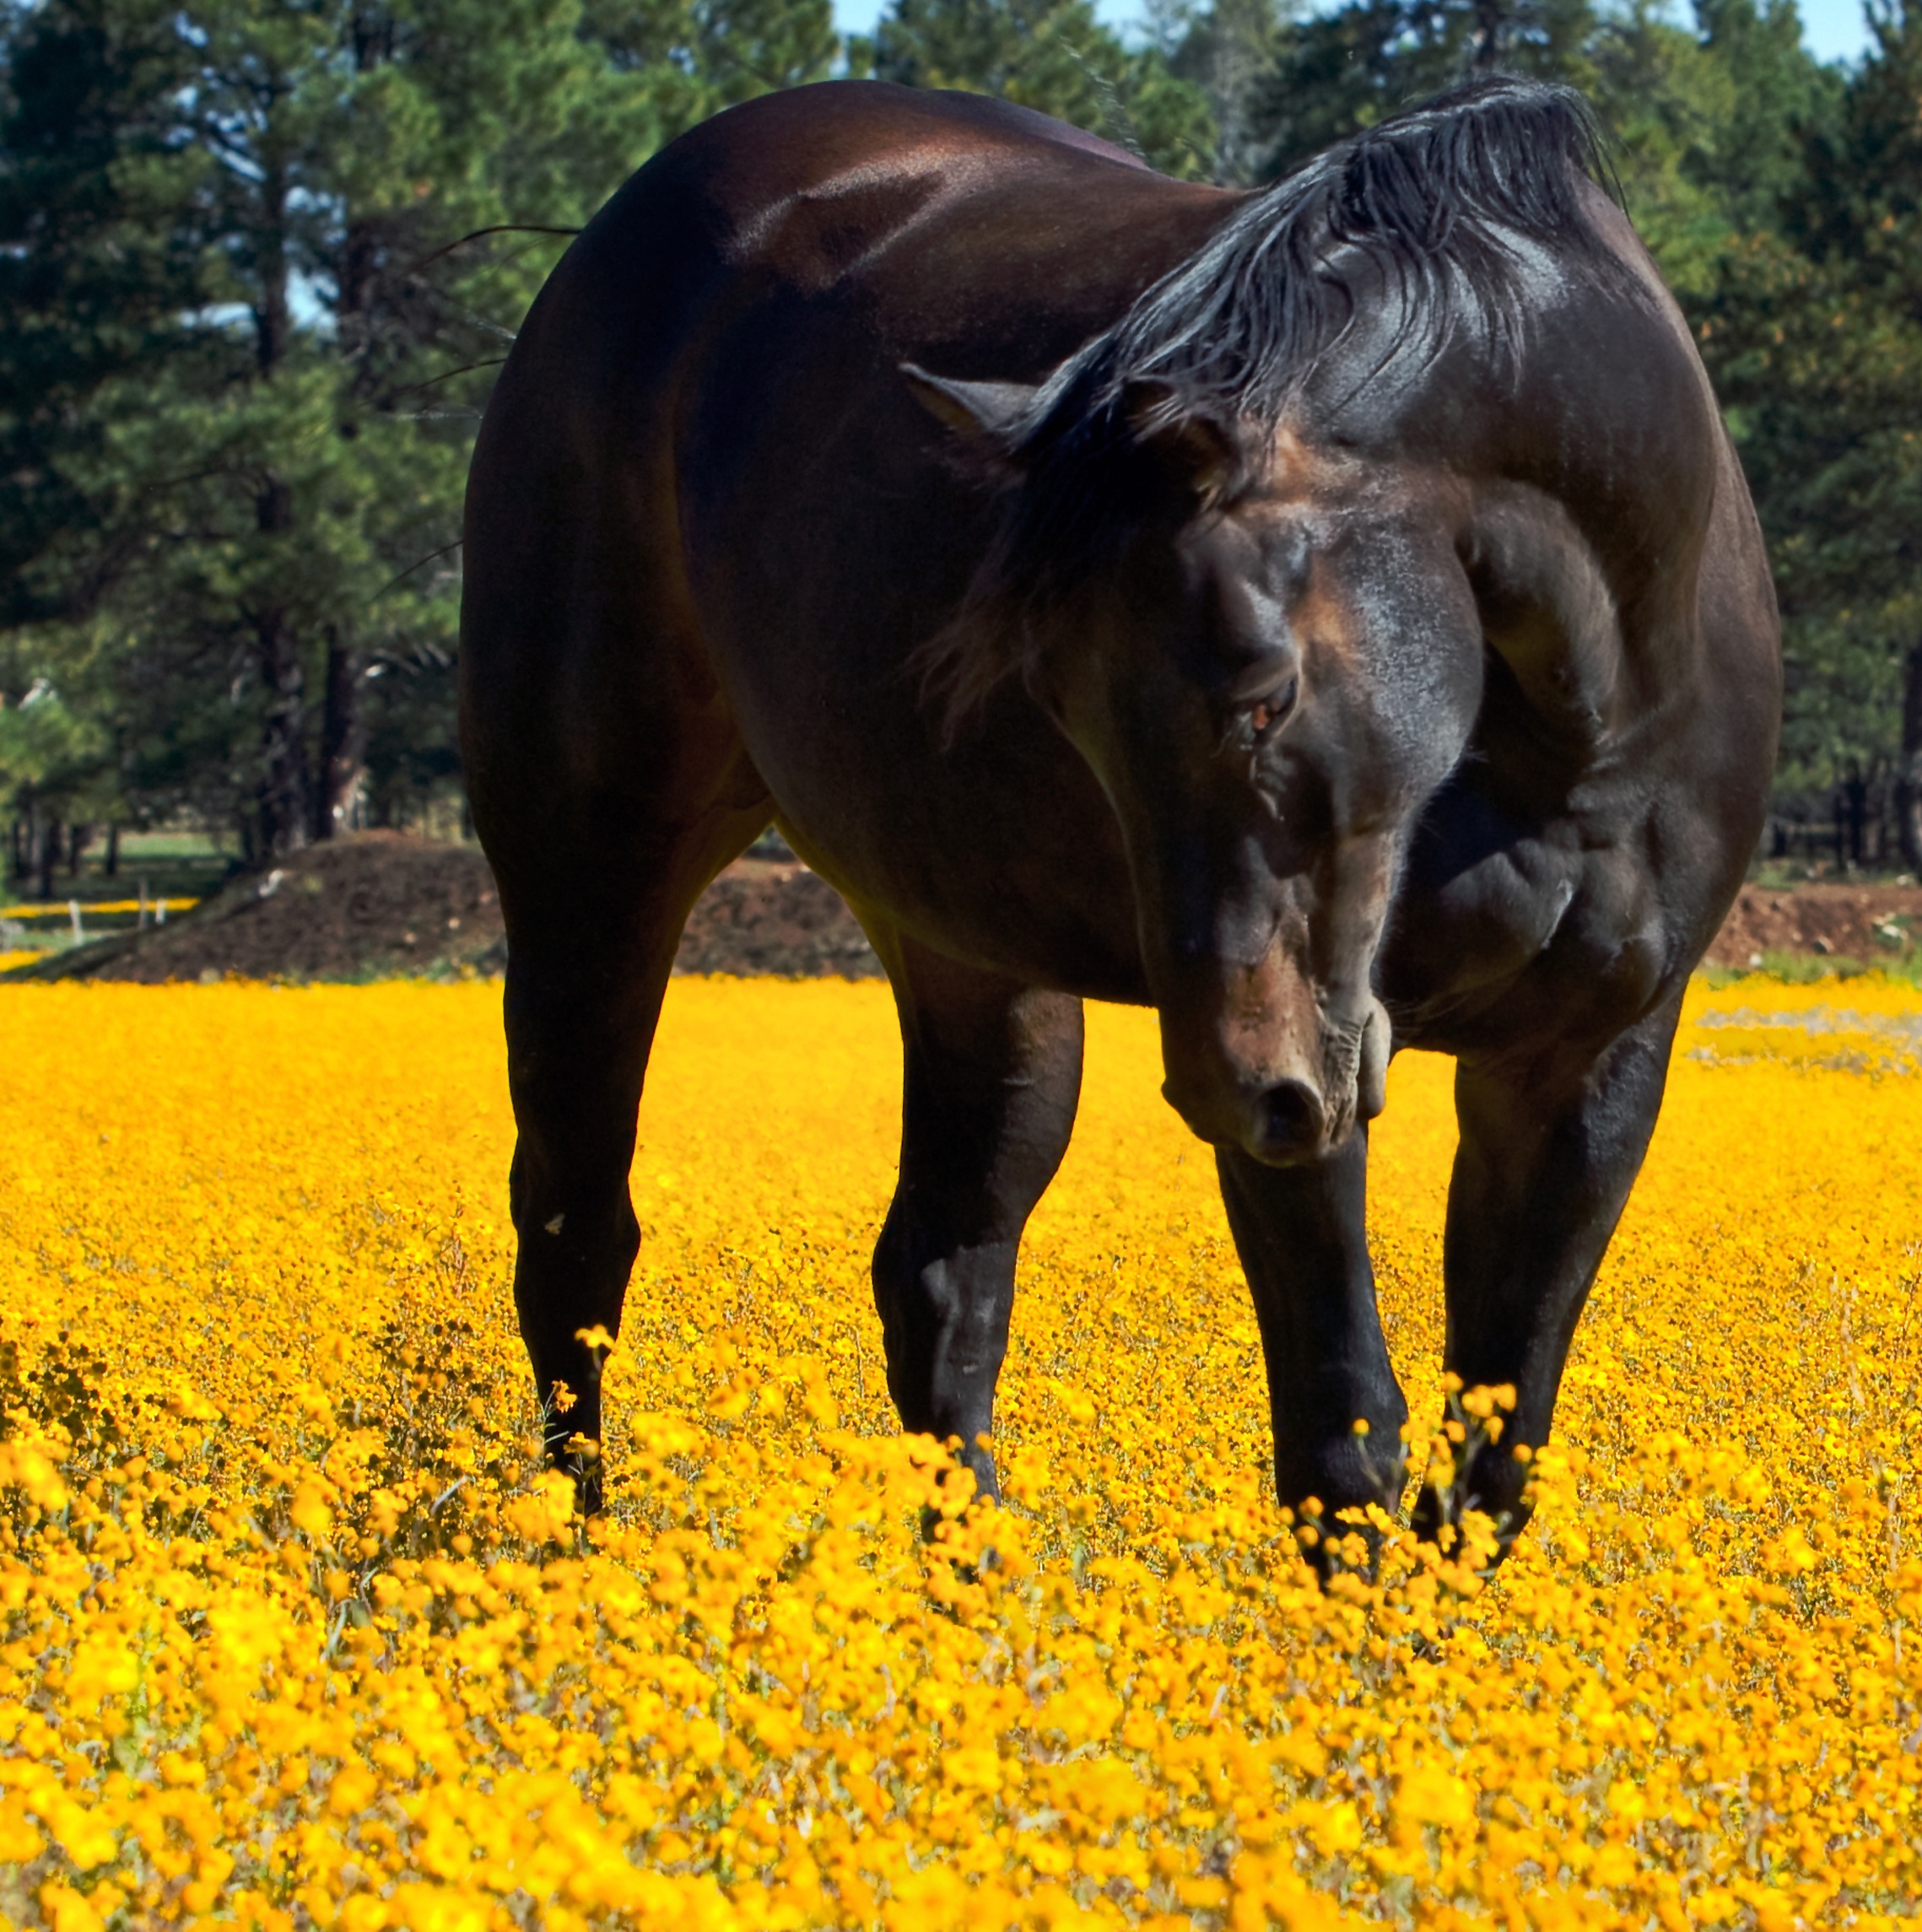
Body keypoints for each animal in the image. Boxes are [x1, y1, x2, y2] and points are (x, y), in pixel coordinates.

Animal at [457, 75, 1784, 1561]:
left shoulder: (1588, 1059)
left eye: (1262, 690)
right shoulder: (1312, 1076)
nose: (1228, 1085)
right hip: (590, 870)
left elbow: (1493, 1459)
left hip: (975, 960)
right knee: (576, 1235)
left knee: (941, 1274)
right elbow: (1345, 1435)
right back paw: (574, 1553)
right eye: (1061, 702)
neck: (1570, 718)